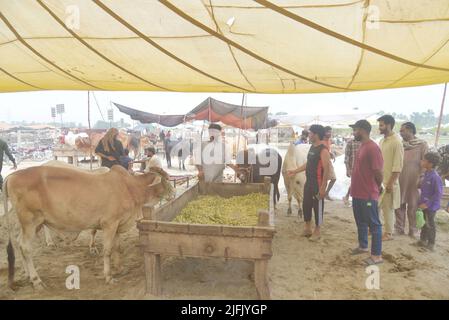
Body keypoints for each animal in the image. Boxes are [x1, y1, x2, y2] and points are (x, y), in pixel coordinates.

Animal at [3, 166, 172, 288]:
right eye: (166, 181)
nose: (173, 193)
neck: (130, 187)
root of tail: (11, 176)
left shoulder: (118, 225)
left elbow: (117, 248)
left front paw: (120, 269)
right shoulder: (109, 224)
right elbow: (107, 251)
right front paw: (109, 276)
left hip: (35, 224)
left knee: (19, 244)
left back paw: (28, 276)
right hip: (30, 221)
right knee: (25, 247)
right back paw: (36, 280)